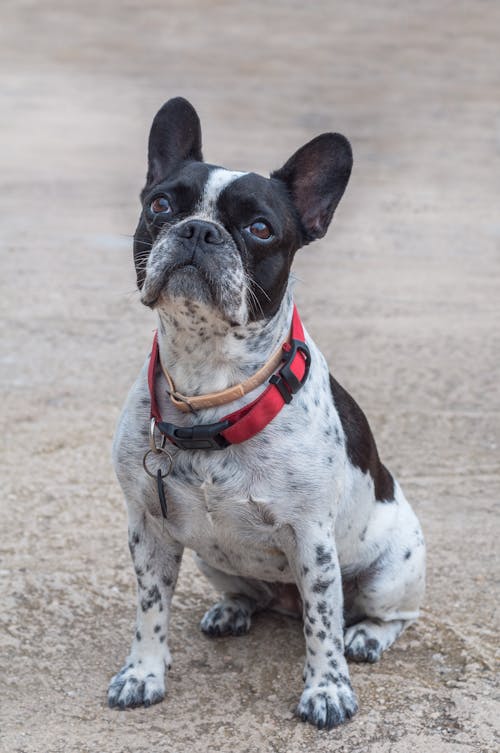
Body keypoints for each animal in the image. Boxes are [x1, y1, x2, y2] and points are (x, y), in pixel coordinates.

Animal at [107, 97, 424, 724]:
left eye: (259, 229)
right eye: (161, 205)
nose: (199, 229)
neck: (207, 389)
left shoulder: (312, 540)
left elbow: (322, 625)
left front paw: (327, 690)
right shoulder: (149, 529)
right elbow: (150, 608)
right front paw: (143, 673)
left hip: (389, 572)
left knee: (384, 615)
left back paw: (366, 636)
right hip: (211, 558)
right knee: (247, 590)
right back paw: (233, 610)